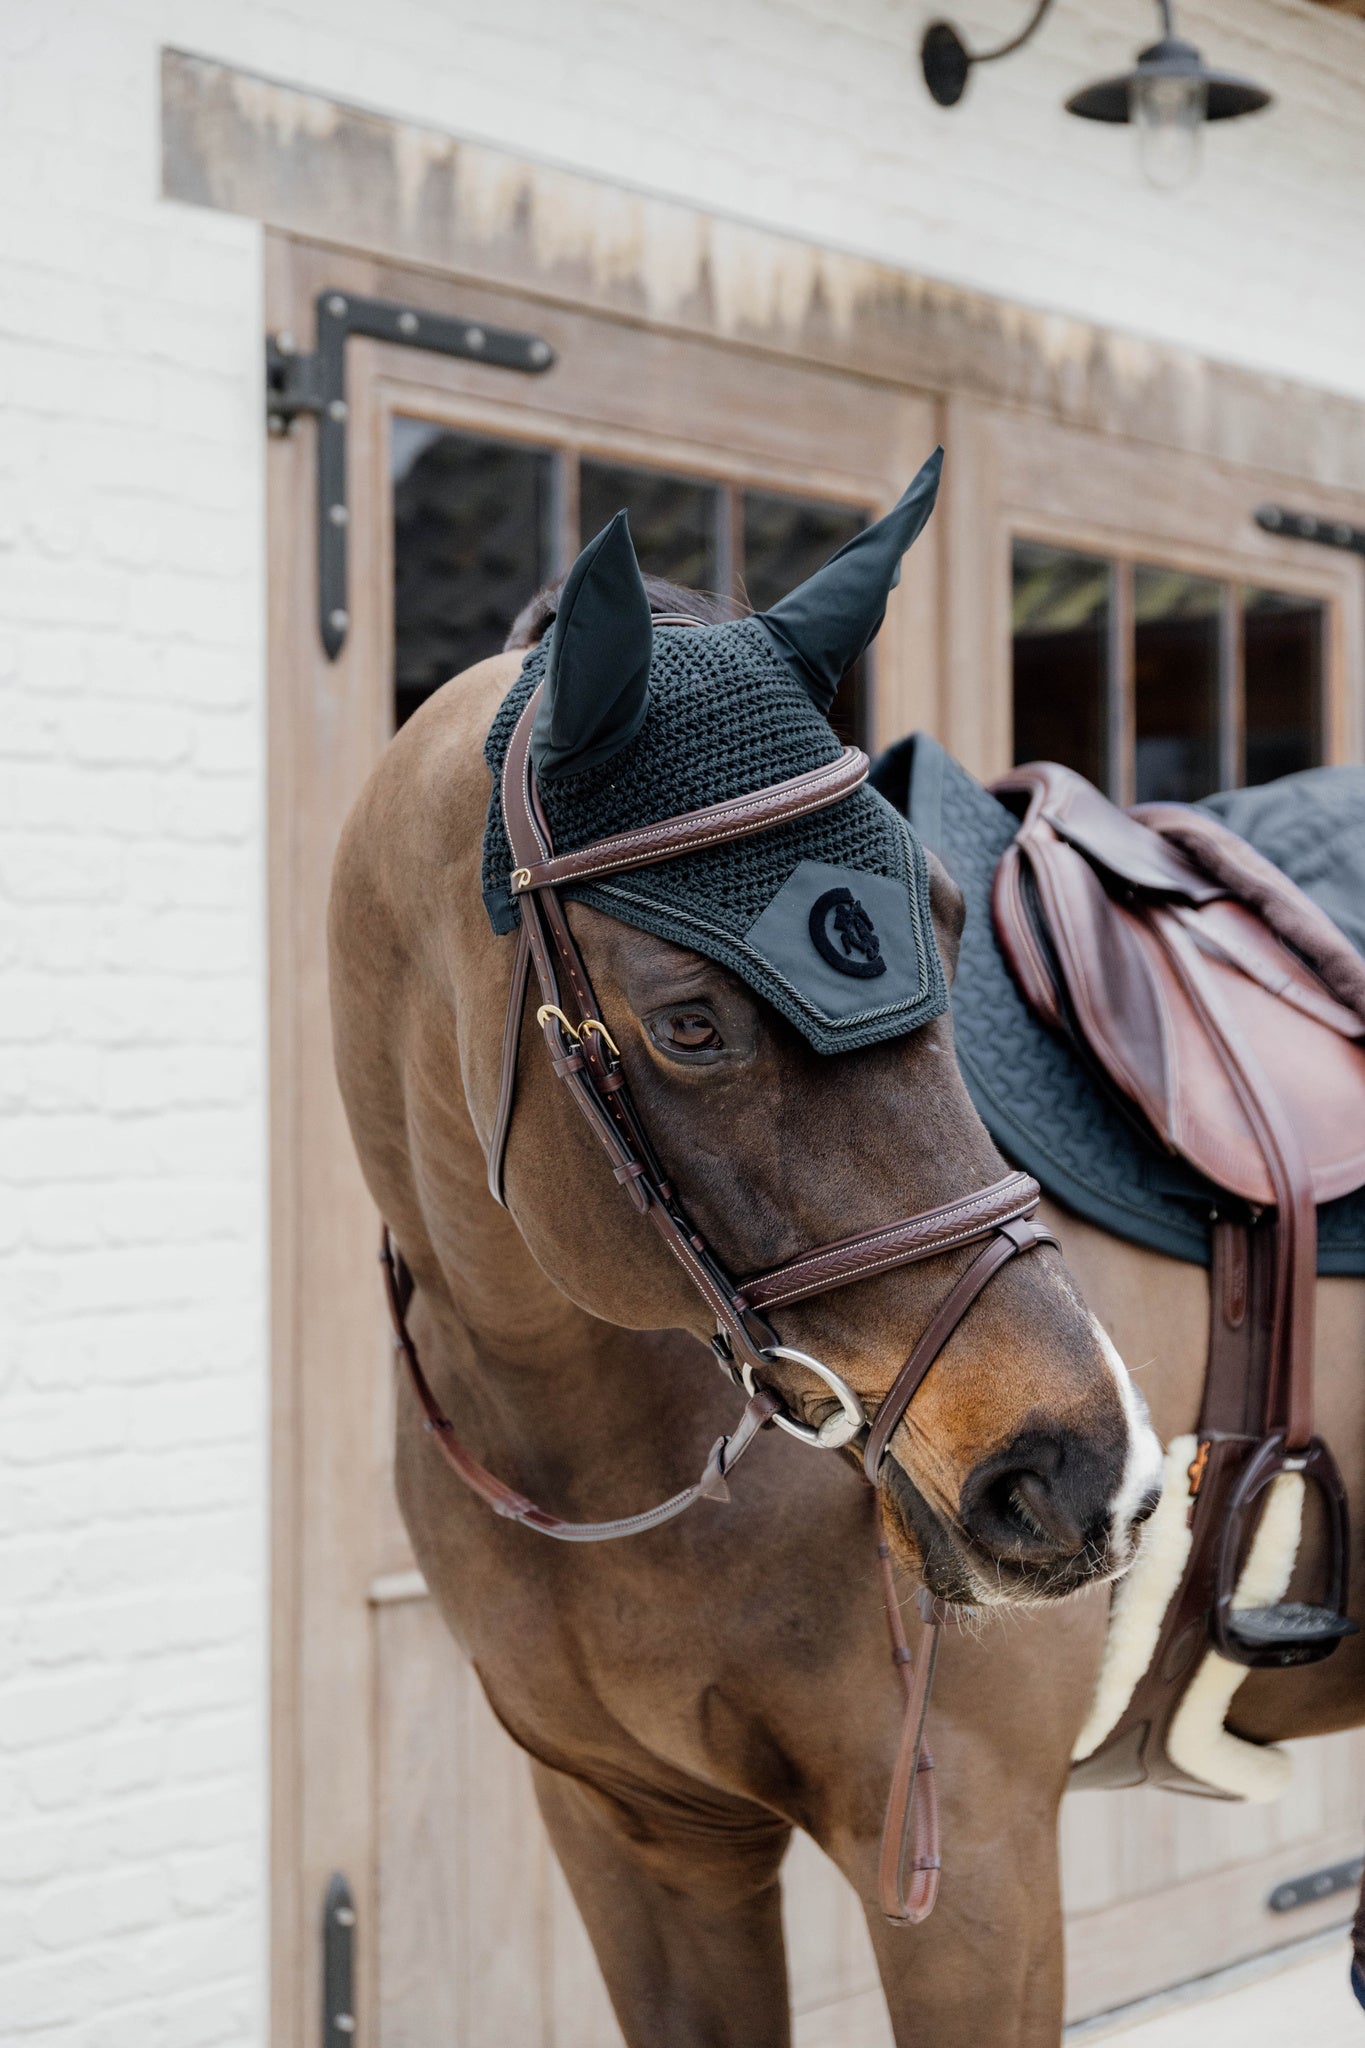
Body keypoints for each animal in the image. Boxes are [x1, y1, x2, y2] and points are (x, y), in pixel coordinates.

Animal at [325, 491, 1170, 2048]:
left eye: (951, 924)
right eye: (690, 1022)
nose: (1086, 1474)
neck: (596, 1449)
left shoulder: (979, 1865)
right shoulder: (644, 1843)